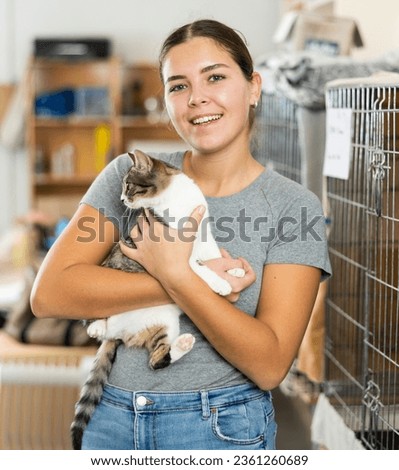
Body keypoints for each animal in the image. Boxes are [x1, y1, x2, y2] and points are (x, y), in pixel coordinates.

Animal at [71, 149, 245, 450]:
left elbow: (212, 254)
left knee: (157, 358)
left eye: (129, 185)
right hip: (103, 283)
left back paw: (182, 344)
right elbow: (196, 268)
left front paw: (231, 269)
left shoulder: (203, 233)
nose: (121, 200)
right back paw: (97, 326)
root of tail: (118, 333)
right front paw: (220, 282)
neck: (175, 199)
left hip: (162, 324)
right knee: (96, 315)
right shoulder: (174, 250)